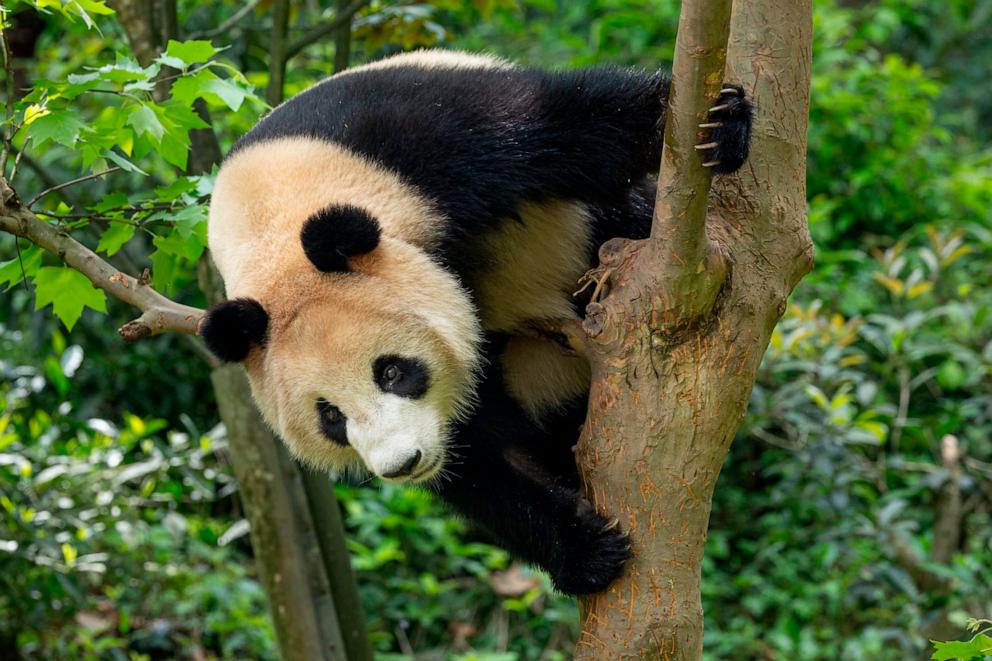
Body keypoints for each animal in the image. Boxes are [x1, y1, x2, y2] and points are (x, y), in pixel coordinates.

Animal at [202, 46, 752, 592]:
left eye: (392, 371)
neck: (274, 224)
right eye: (330, 416)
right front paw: (586, 551)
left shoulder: (414, 141)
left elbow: (577, 131)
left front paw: (722, 123)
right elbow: (482, 463)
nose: (402, 464)